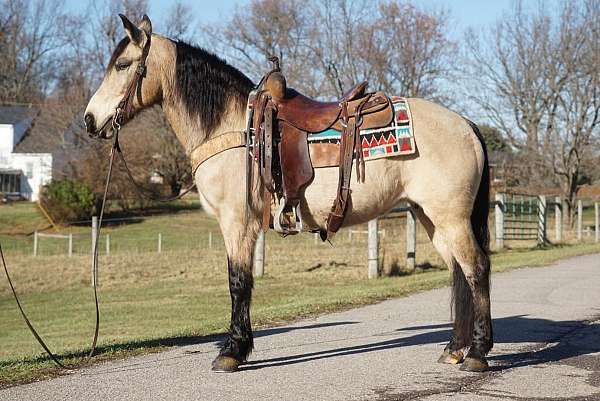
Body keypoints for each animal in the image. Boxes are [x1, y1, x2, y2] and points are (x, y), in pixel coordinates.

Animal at [84, 15, 494, 372]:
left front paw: (232, 352)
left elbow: (238, 283)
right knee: (458, 272)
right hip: (431, 218)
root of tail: (466, 124)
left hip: (451, 219)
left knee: (476, 269)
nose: (90, 120)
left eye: (122, 64)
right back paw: (454, 349)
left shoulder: (237, 223)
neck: (233, 128)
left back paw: (476, 353)